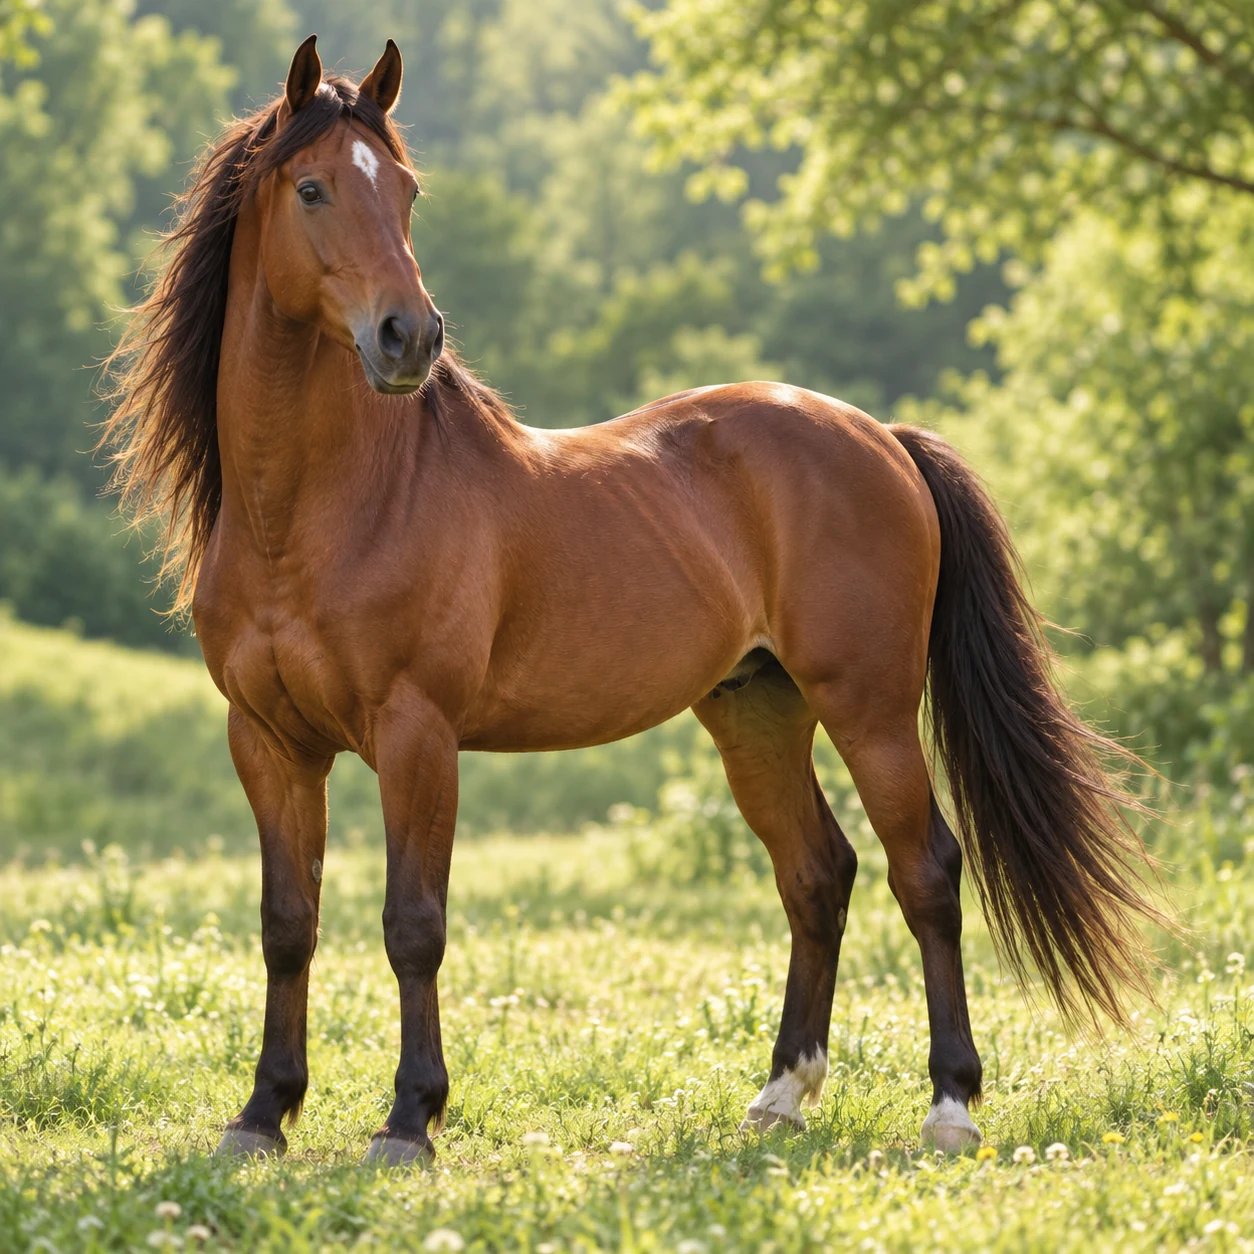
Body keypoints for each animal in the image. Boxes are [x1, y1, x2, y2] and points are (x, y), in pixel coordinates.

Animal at [103, 35, 1160, 1165]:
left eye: (408, 191)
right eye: (311, 188)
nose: (408, 338)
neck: (319, 511)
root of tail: (879, 436)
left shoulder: (416, 734)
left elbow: (413, 925)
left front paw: (410, 1120)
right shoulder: (268, 742)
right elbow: (286, 924)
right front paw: (263, 1113)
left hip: (868, 708)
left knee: (925, 872)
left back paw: (951, 1105)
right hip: (756, 710)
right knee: (817, 874)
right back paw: (780, 1095)